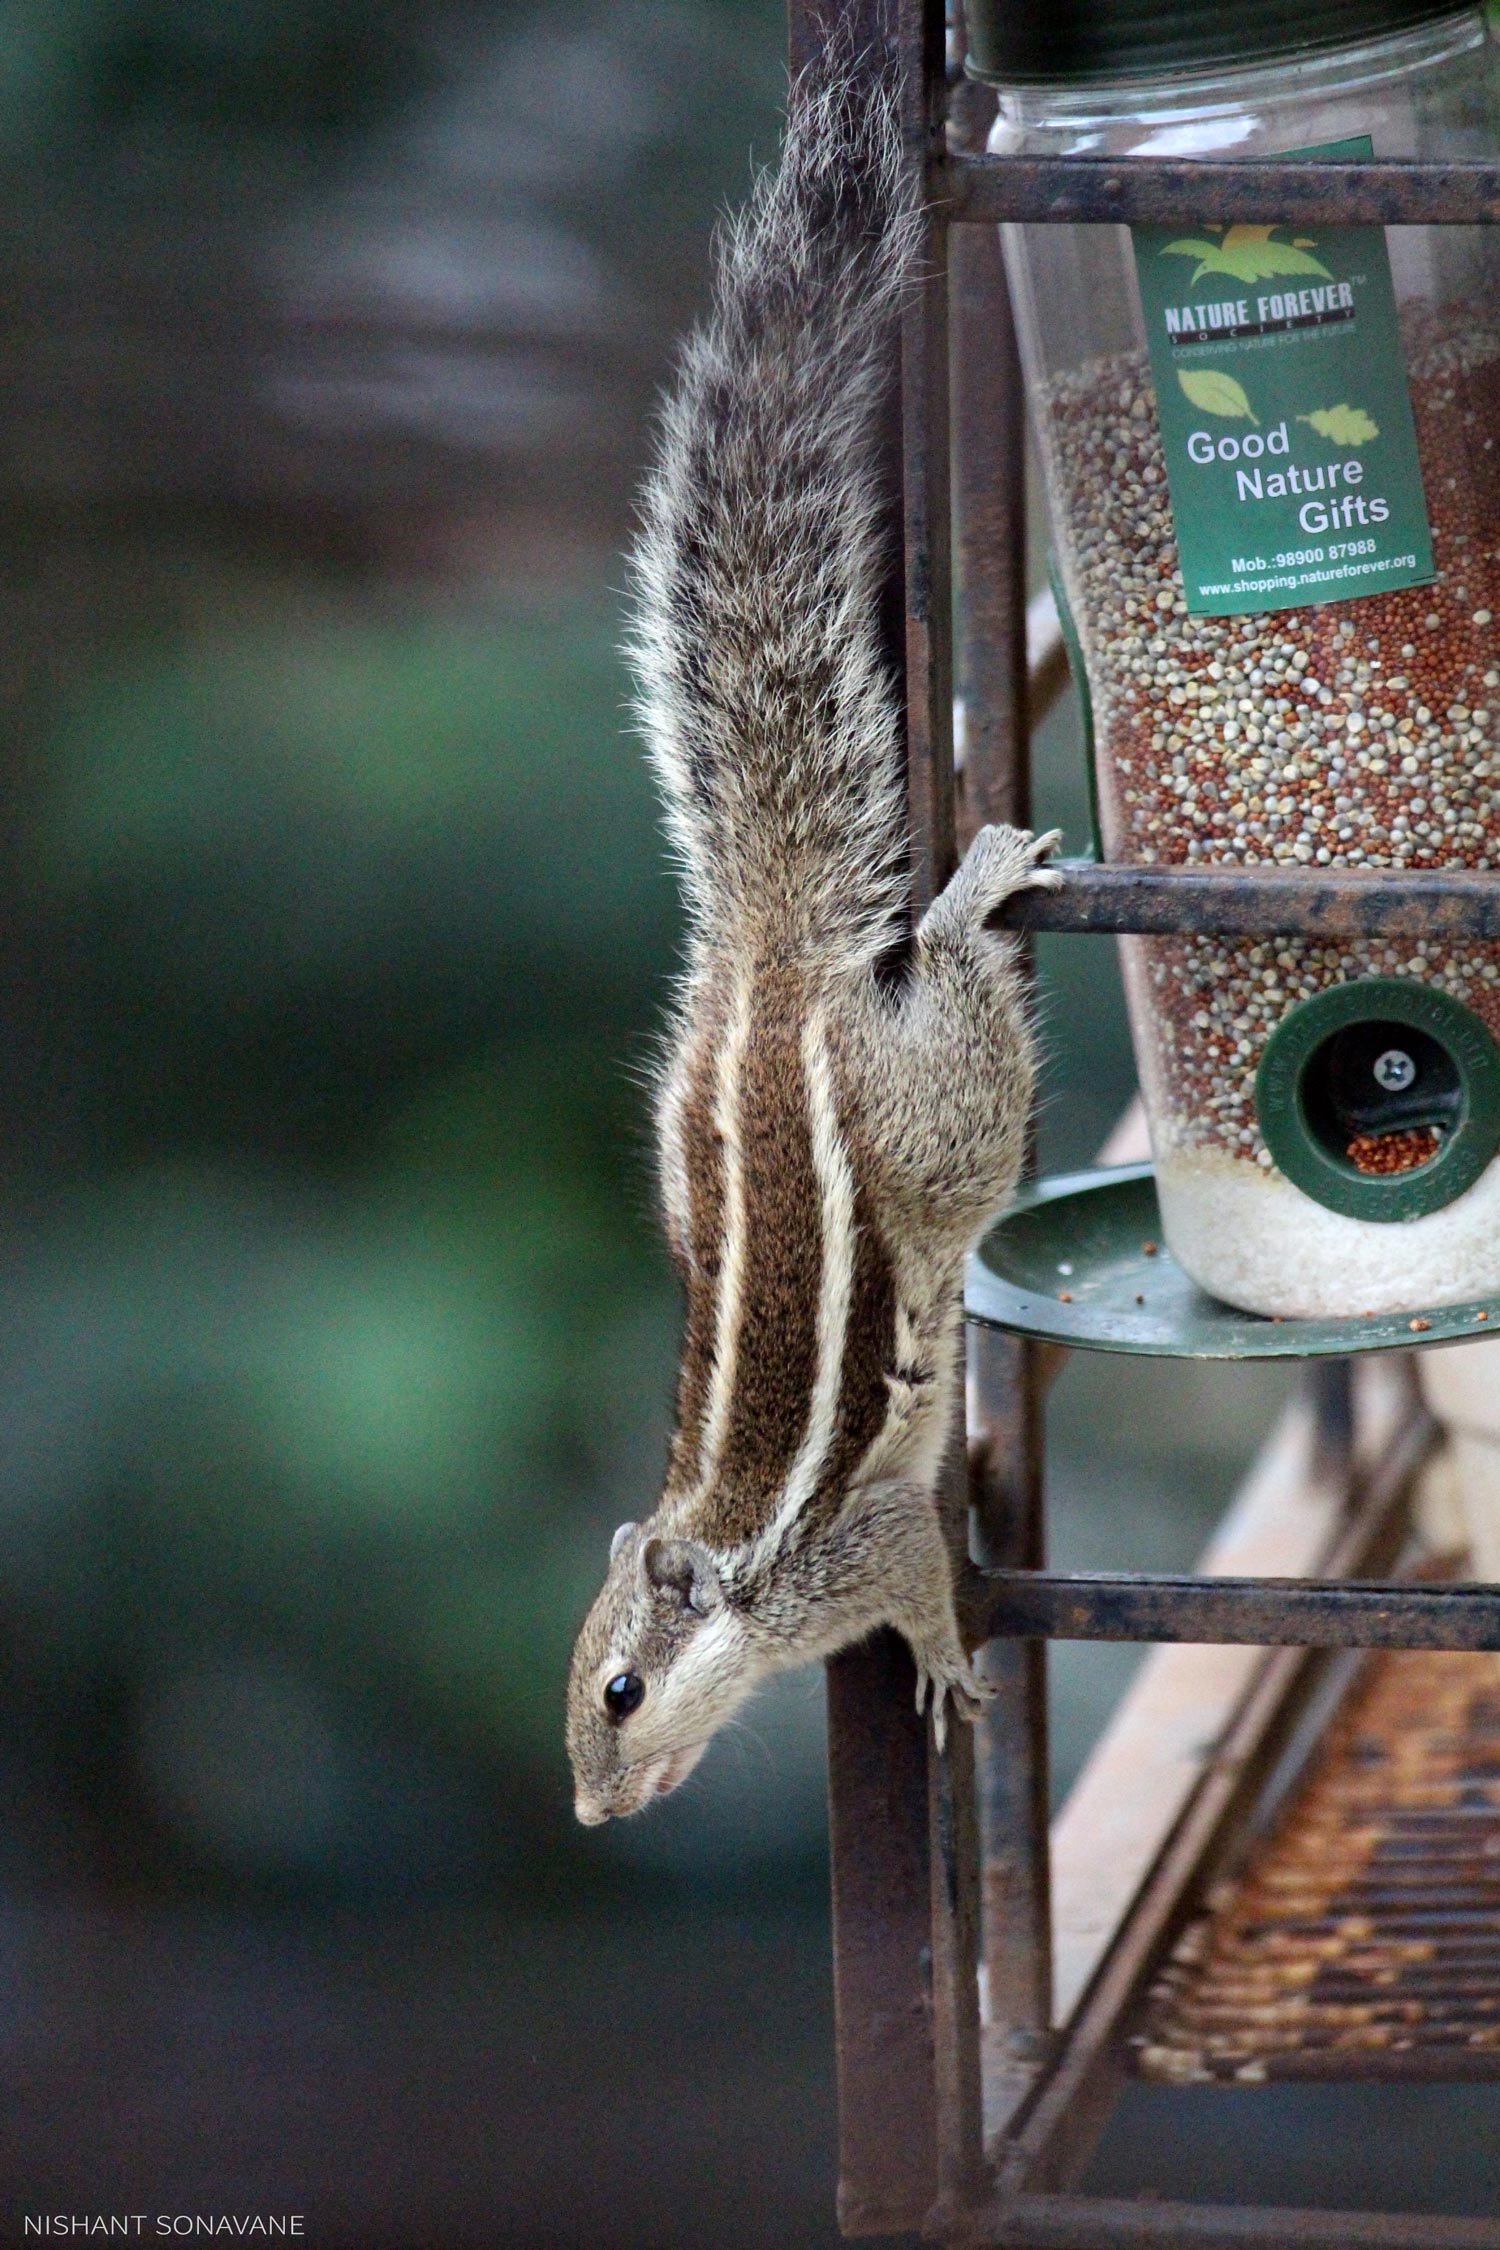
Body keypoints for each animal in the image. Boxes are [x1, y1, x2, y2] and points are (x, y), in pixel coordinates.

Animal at [565, 48, 1058, 1825]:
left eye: (624, 1687)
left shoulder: (859, 1542)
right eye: (576, 1690)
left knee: (968, 1014)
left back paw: (976, 888)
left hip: (941, 1115)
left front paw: (952, 1672)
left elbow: (917, 1560)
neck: (732, 1558)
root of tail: (770, 967)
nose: (593, 1808)